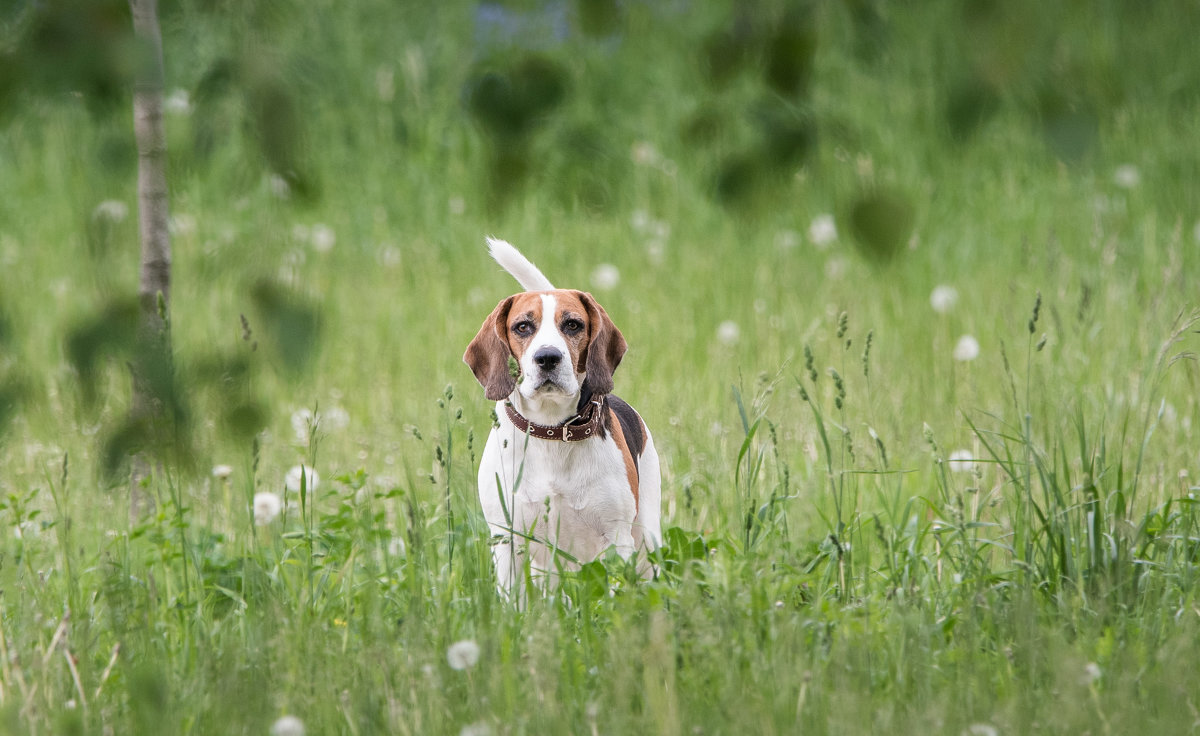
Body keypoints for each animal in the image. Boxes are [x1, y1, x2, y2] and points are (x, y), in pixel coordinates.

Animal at [460, 237, 667, 593]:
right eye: (522, 327)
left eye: (572, 324)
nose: (547, 357)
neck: (552, 430)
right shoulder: (507, 542)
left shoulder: (617, 540)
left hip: (647, 537)